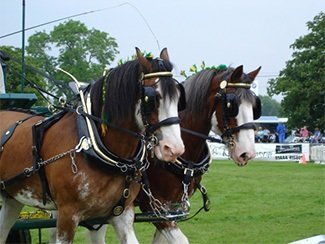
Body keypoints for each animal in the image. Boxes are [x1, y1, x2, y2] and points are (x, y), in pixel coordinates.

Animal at [0, 47, 182, 242]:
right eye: (152, 98)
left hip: (12, 199)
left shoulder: (122, 214)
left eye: (179, 97)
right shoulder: (67, 214)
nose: (174, 149)